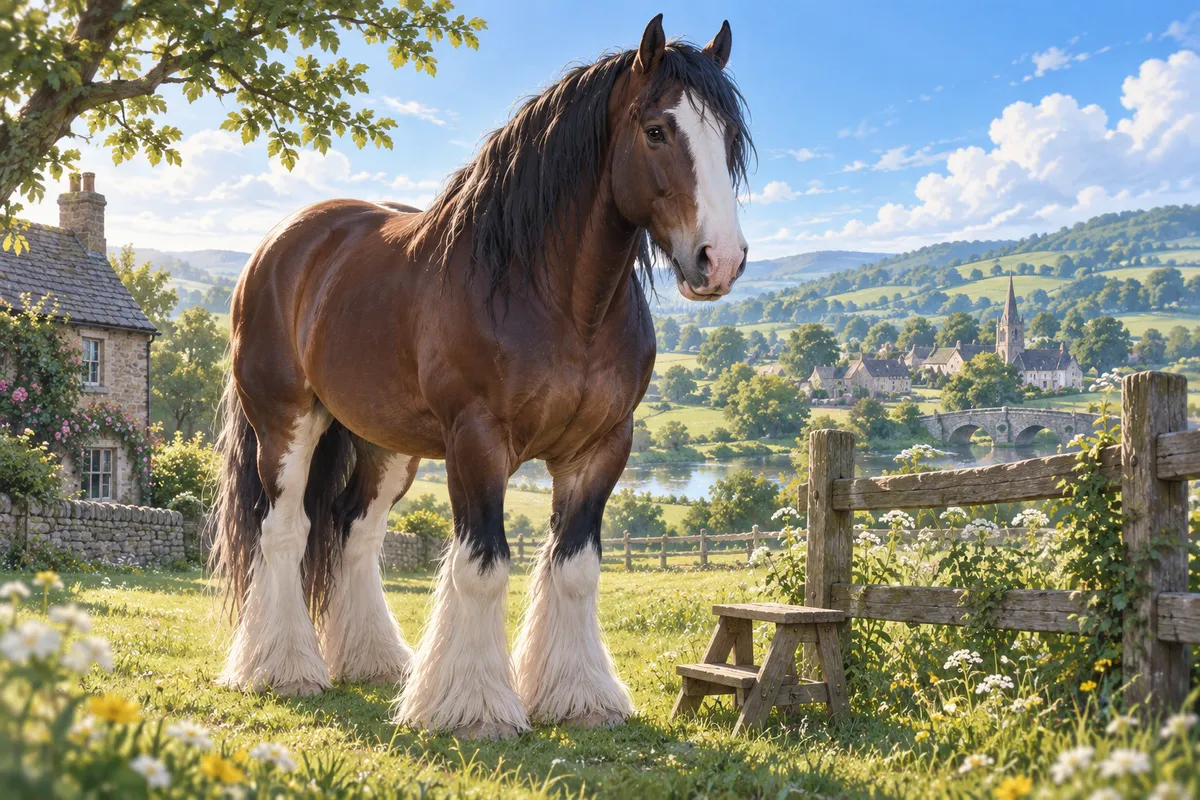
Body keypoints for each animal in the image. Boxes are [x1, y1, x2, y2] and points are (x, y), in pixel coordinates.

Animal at [209, 14, 752, 739]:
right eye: (657, 129)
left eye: (729, 137)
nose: (720, 260)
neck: (557, 300)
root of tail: (281, 245)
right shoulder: (477, 442)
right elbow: (483, 567)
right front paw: (474, 707)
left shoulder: (602, 447)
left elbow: (575, 570)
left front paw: (581, 698)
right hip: (286, 422)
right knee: (285, 530)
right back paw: (283, 670)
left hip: (387, 445)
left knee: (355, 533)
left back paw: (376, 663)